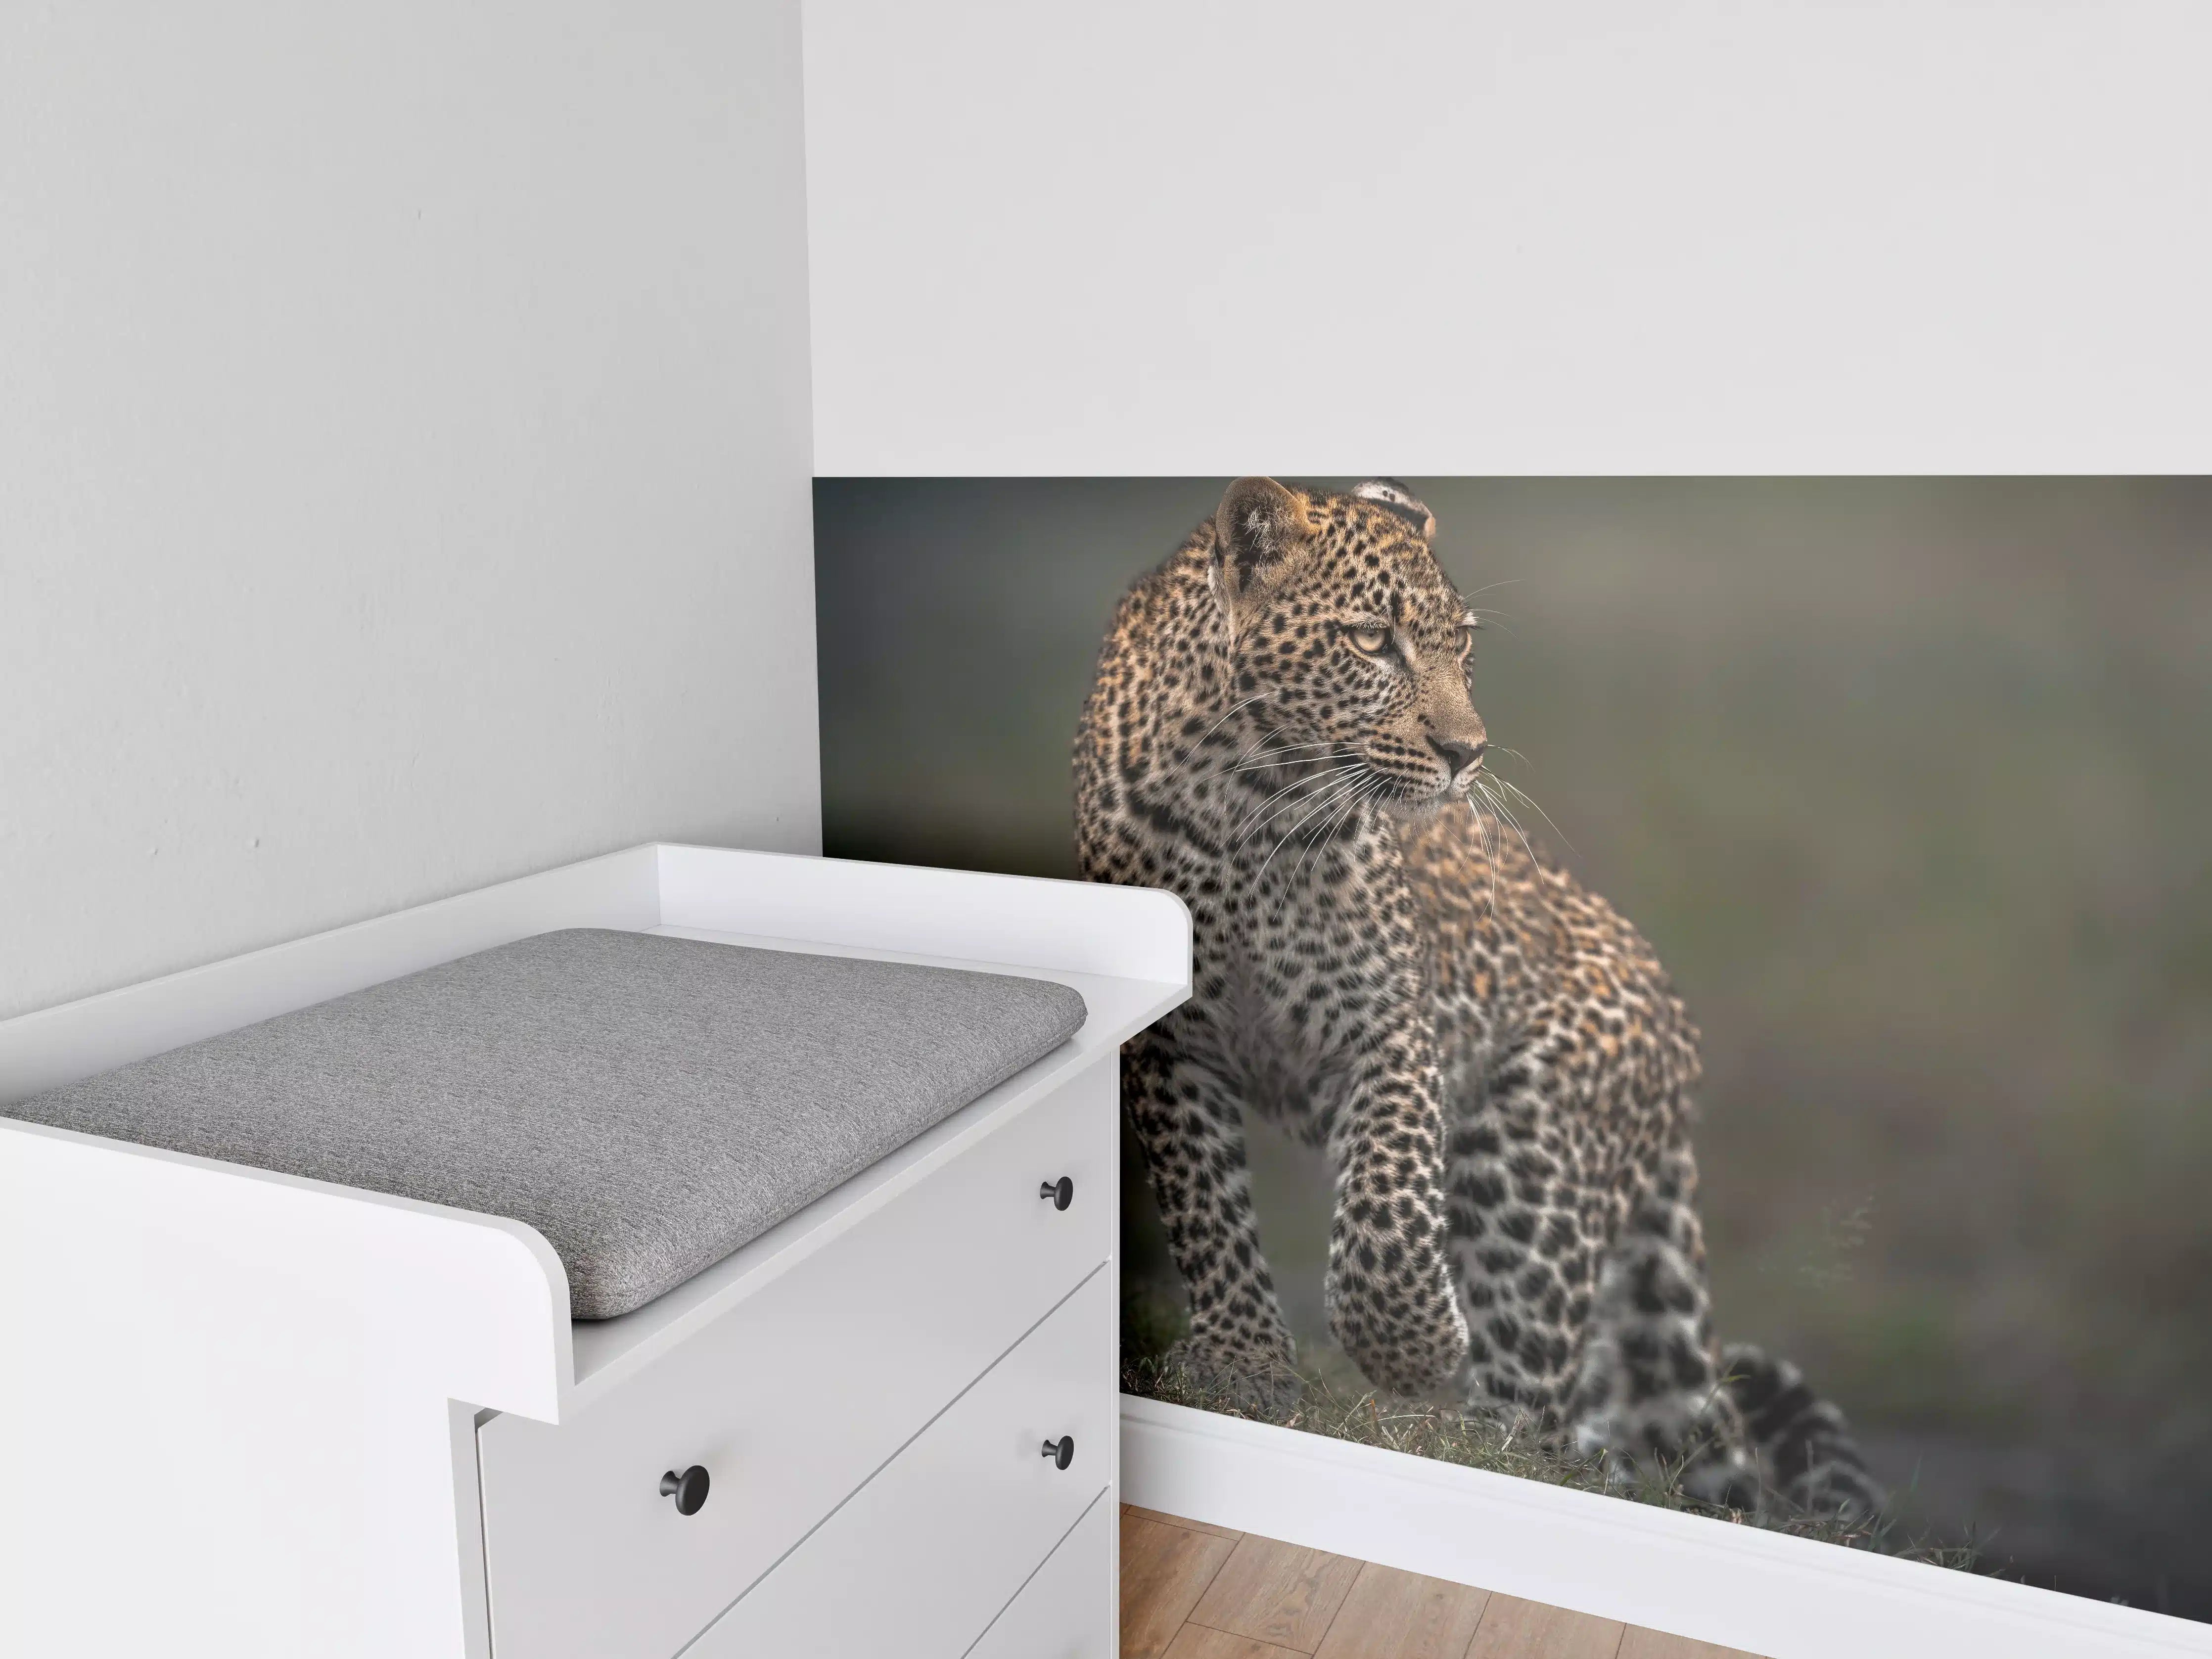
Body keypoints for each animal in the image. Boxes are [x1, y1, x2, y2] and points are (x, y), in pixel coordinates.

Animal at [1075, 475, 1878, 1516]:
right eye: (1372, 639)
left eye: (1461, 645)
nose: (1468, 752)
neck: (1244, 799)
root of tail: (1677, 1034)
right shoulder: (1168, 1043)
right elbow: (1205, 1206)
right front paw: (1245, 1363)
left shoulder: (1386, 1024)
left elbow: (1385, 1210)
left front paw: (1414, 1347)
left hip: (1531, 1161)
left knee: (1542, 1422)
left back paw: (1469, 1450)